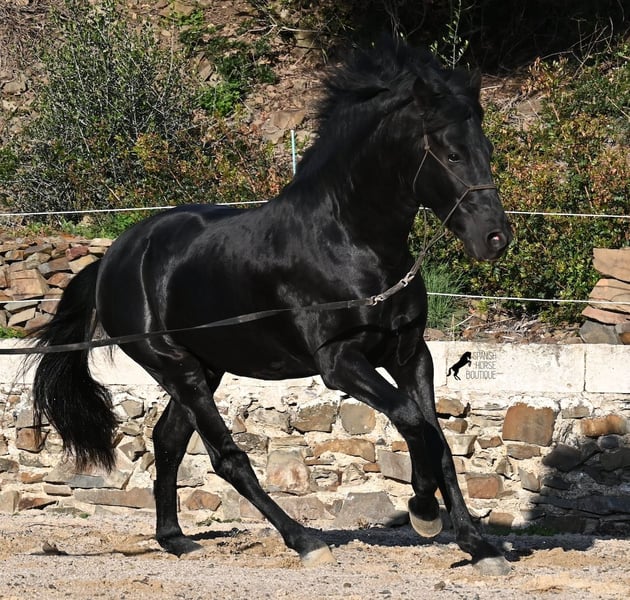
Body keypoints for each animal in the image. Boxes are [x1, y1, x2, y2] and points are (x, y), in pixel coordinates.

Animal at [31, 38, 512, 574]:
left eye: (487, 150)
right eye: (450, 153)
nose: (496, 238)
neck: (350, 242)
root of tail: (112, 260)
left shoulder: (409, 354)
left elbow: (439, 440)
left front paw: (478, 545)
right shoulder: (339, 361)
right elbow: (412, 421)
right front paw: (423, 512)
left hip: (204, 367)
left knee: (168, 441)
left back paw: (175, 538)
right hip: (176, 367)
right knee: (227, 457)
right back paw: (304, 539)